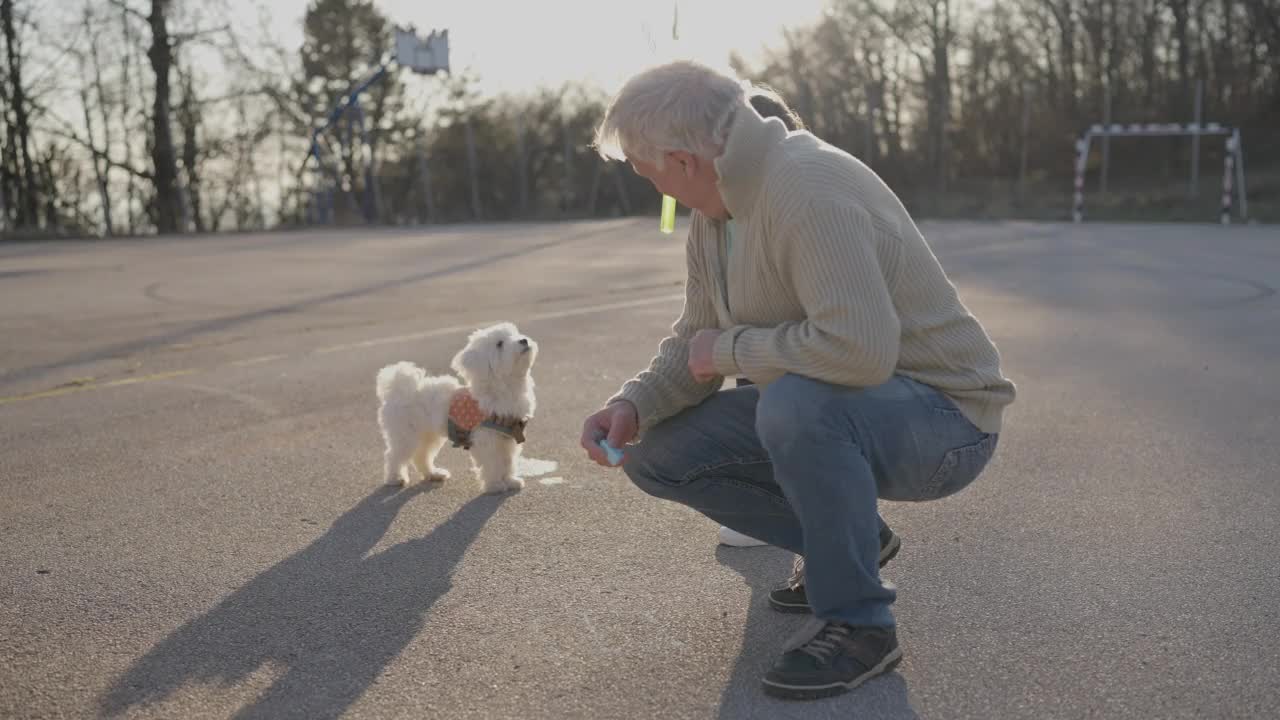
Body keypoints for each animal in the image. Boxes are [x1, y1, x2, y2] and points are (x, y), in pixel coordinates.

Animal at [378, 325, 540, 491]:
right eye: (499, 344)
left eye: (515, 334)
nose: (523, 340)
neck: (505, 388)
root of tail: (399, 389)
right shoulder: (486, 438)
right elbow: (492, 463)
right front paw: (495, 485)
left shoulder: (508, 437)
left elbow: (508, 462)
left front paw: (510, 481)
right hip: (405, 434)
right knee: (394, 455)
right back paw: (395, 478)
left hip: (428, 435)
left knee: (421, 455)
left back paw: (433, 474)